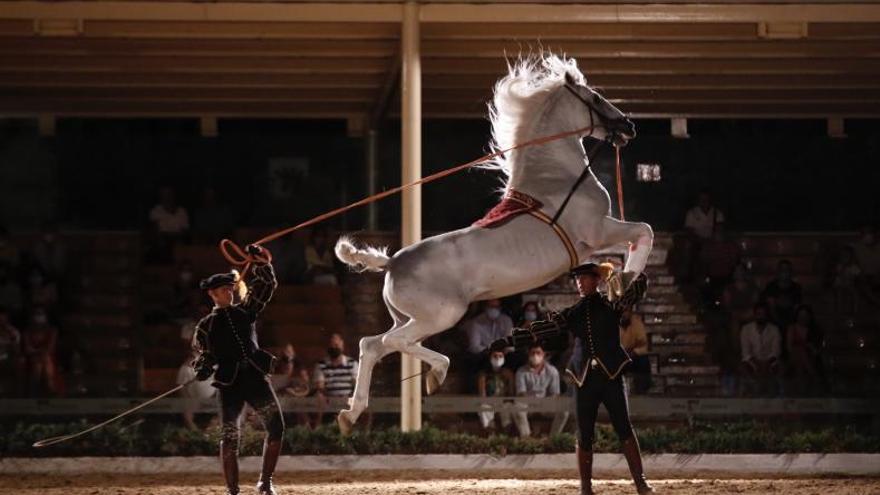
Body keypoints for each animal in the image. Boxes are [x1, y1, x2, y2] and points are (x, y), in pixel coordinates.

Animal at [336, 53, 652, 434]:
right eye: (595, 98)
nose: (628, 126)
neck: (556, 178)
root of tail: (392, 262)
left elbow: (639, 236)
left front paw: (620, 282)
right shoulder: (598, 231)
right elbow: (644, 231)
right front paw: (625, 280)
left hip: (407, 319)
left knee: (371, 345)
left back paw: (351, 414)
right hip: (440, 315)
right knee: (391, 343)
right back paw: (436, 373)